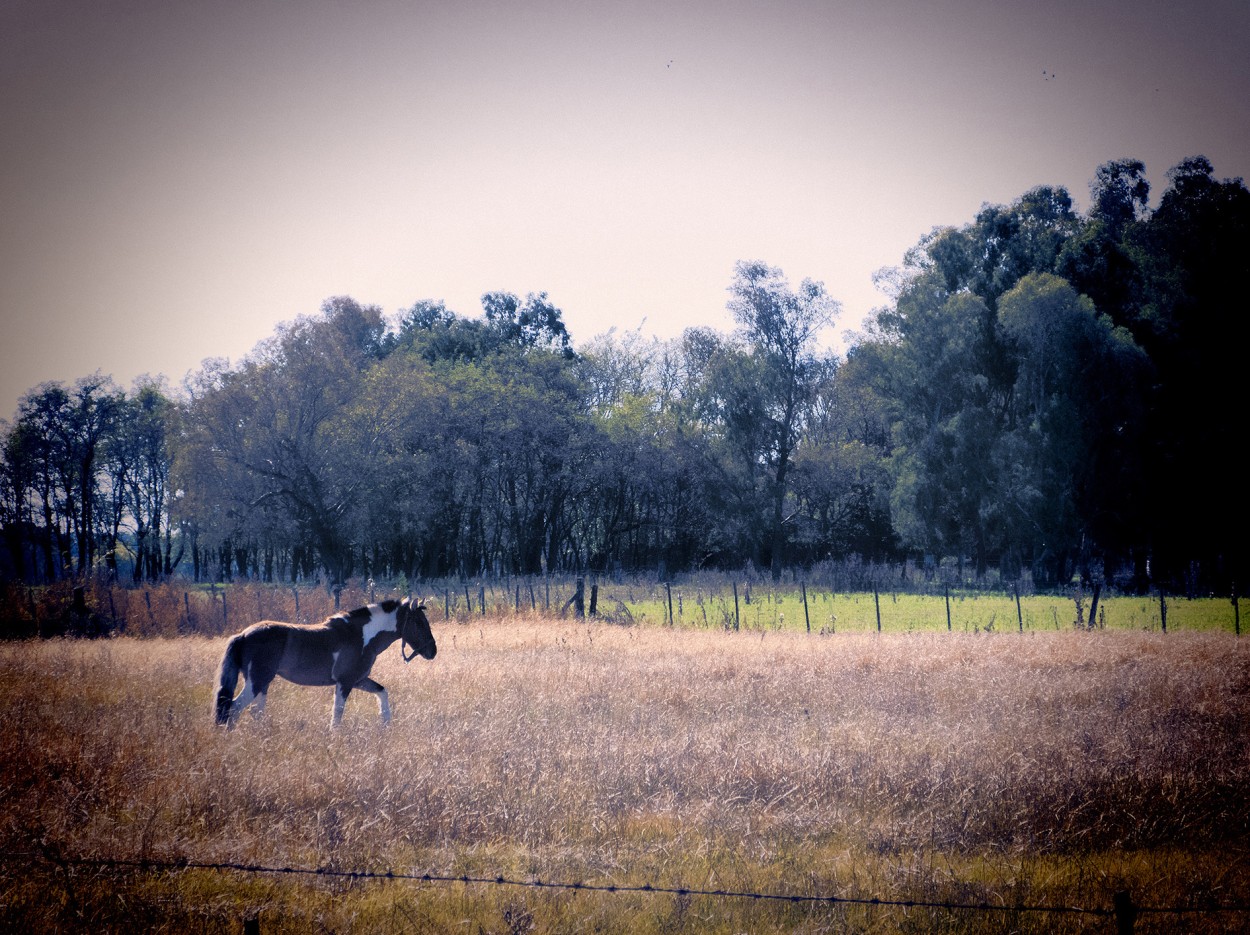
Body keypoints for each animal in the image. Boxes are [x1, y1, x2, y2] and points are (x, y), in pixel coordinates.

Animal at [211, 595, 435, 725]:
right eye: (419, 622)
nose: (433, 651)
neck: (361, 635)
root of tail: (243, 635)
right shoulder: (345, 683)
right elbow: (337, 715)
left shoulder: (359, 680)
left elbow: (382, 692)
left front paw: (385, 724)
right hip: (256, 682)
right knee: (234, 709)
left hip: (263, 684)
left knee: (254, 713)